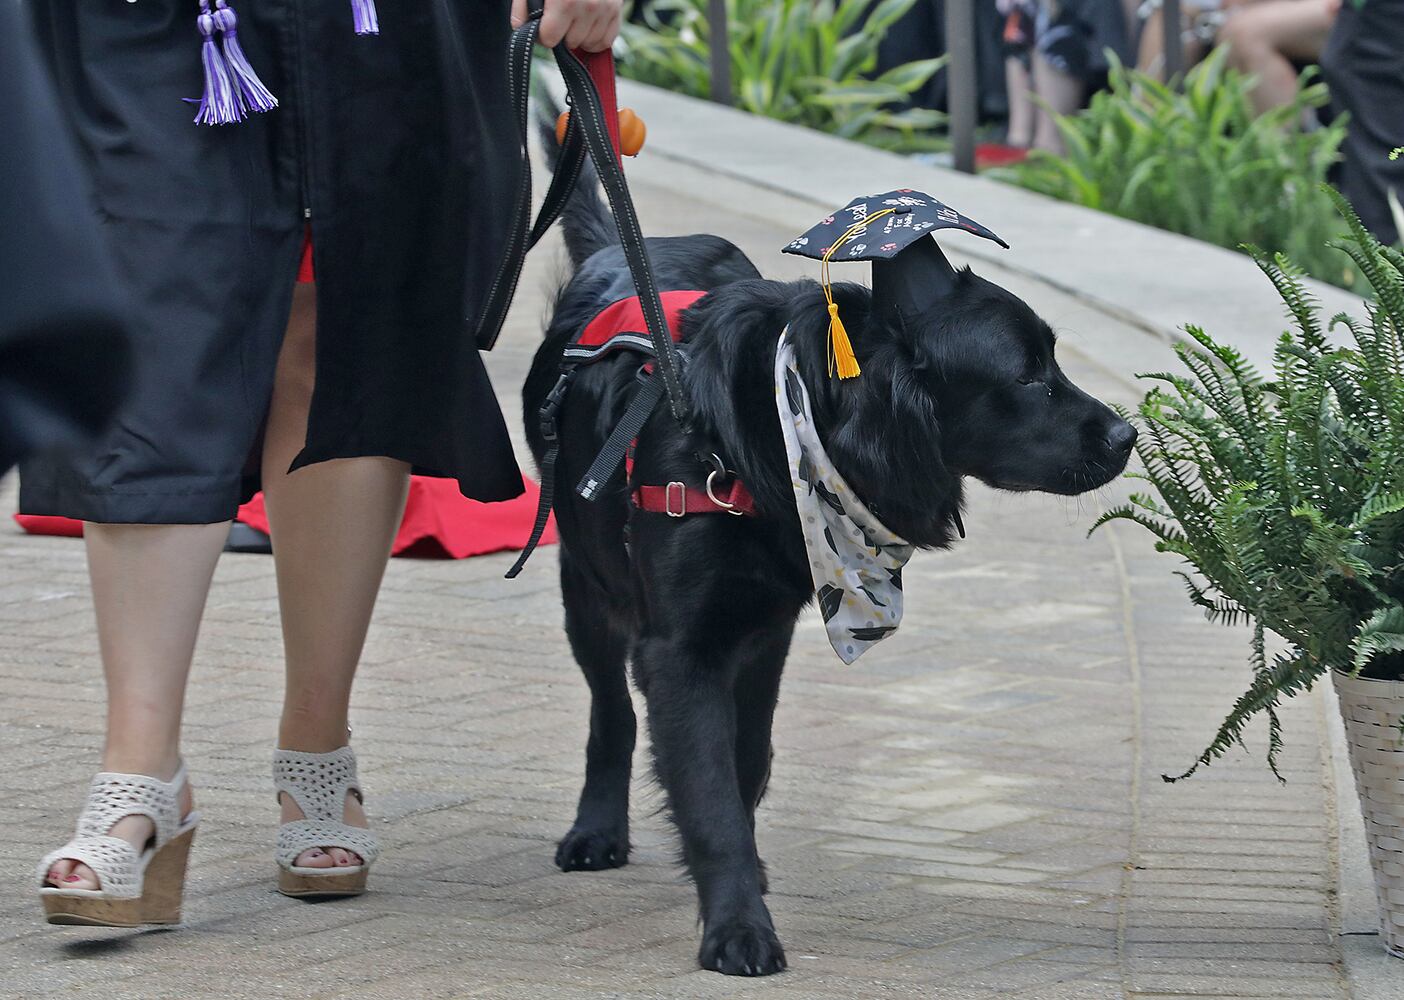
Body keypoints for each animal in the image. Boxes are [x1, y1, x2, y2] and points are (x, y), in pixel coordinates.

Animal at [522, 165, 1134, 977]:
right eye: (1030, 377)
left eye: (1054, 361)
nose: (1128, 435)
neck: (769, 424)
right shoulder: (682, 649)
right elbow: (708, 792)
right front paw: (737, 928)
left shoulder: (764, 631)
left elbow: (745, 763)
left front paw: (747, 881)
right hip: (585, 582)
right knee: (610, 710)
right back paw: (597, 828)